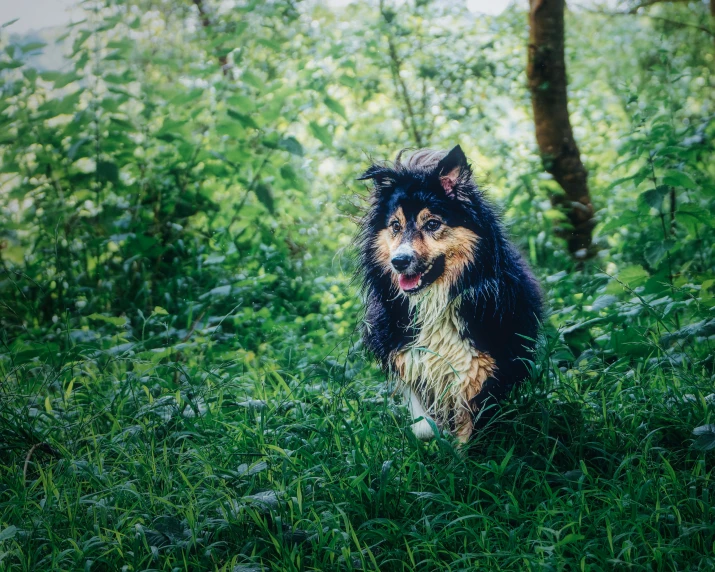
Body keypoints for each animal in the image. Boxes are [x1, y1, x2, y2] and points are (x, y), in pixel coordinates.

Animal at [358, 145, 544, 444]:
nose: (399, 262)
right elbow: (423, 424)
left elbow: (468, 430)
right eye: (395, 226)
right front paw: (434, 435)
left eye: (433, 224)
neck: (435, 301)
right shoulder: (407, 356)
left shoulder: (477, 368)